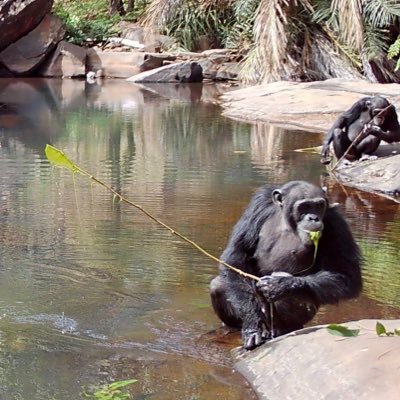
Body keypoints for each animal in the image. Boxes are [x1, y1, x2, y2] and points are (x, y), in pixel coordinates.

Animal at [209, 181, 362, 350]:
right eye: (304, 206)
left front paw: (280, 285)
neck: (288, 221)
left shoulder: (336, 224)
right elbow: (236, 257)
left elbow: (346, 276)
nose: (314, 218)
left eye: (319, 205)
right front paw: (252, 326)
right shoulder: (257, 206)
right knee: (219, 284)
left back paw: (282, 328)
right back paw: (234, 328)